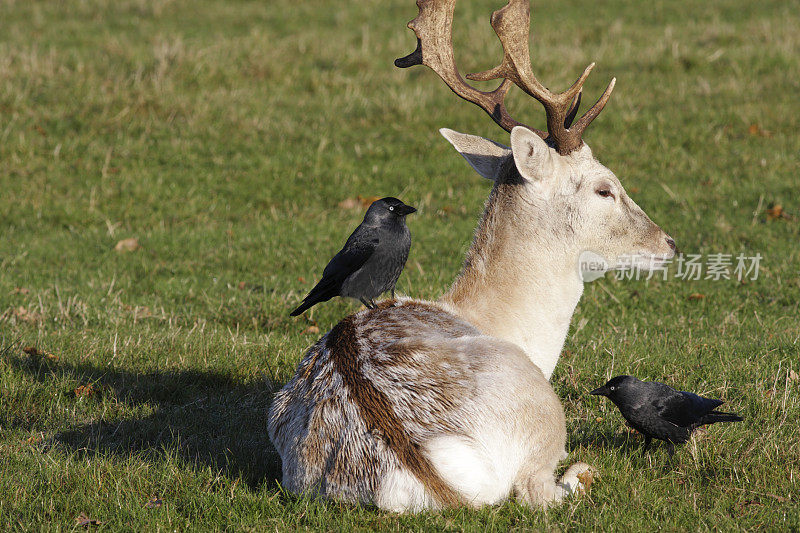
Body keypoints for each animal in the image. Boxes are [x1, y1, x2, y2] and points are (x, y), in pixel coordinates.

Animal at [268, 0, 676, 510]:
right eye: (605, 188)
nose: (668, 243)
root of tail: (434, 475)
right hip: (542, 410)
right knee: (543, 490)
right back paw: (581, 473)